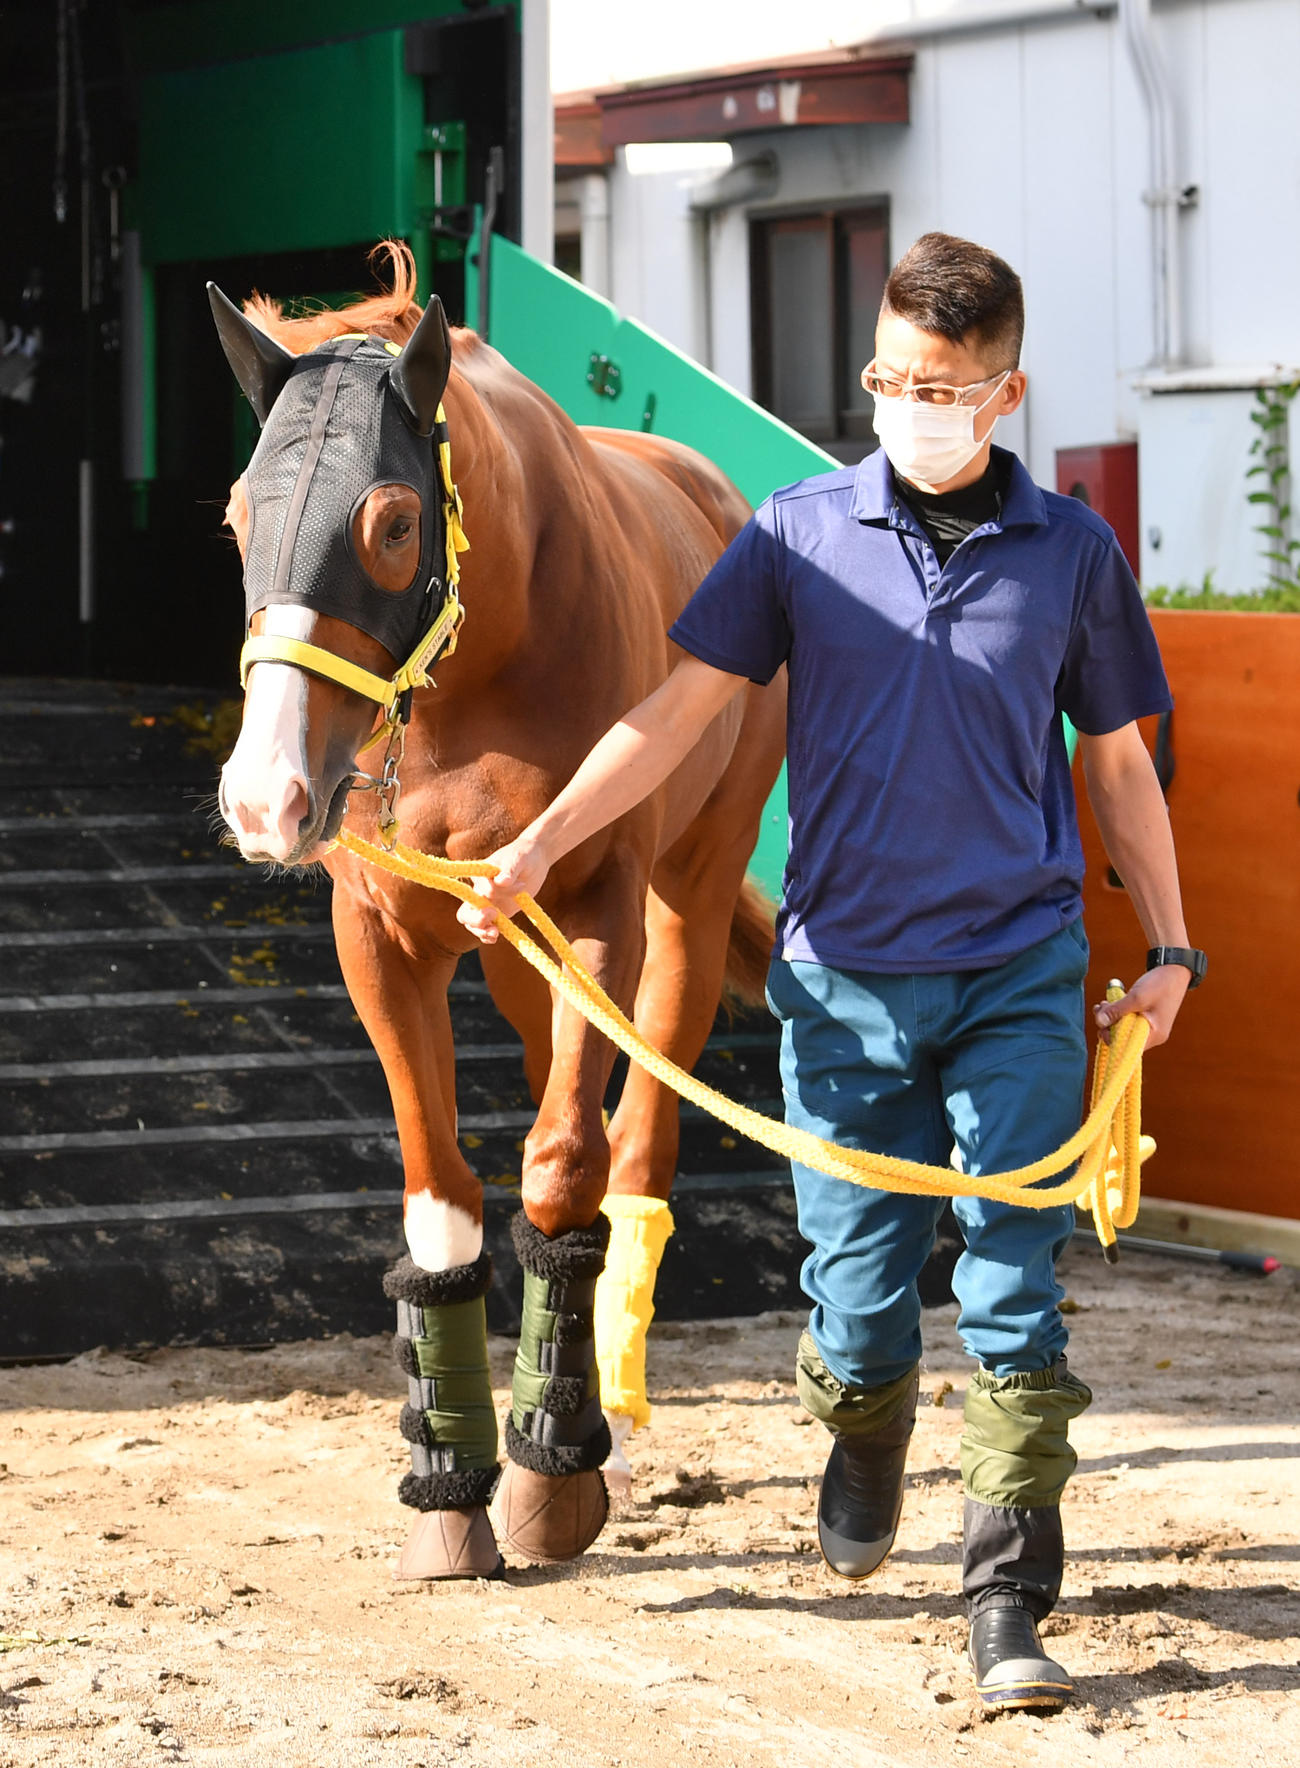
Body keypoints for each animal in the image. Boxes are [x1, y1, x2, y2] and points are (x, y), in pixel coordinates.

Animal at [211, 242, 786, 1580]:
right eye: (239, 516)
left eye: (391, 520)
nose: (266, 800)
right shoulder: (380, 938)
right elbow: (443, 1195)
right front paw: (451, 1480)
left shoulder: (593, 909)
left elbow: (566, 1164)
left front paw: (550, 1472)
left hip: (678, 908)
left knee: (636, 1139)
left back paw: (606, 1416)